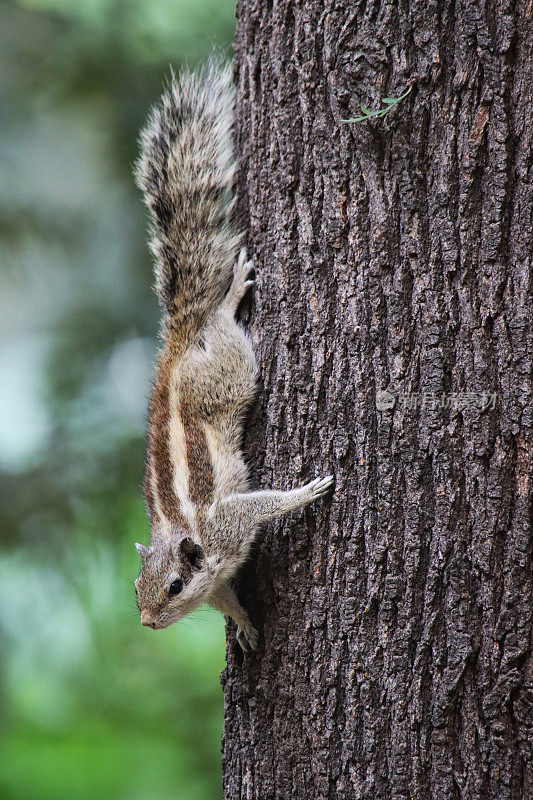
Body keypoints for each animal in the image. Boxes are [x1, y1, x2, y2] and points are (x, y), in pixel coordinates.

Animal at [133, 61, 332, 648]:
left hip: (227, 372)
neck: (191, 537)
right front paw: (243, 623)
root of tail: (178, 346)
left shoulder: (226, 524)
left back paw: (227, 298)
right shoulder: (218, 569)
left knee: (223, 330)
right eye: (136, 588)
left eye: (174, 586)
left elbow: (260, 505)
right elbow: (226, 598)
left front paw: (301, 495)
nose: (148, 622)